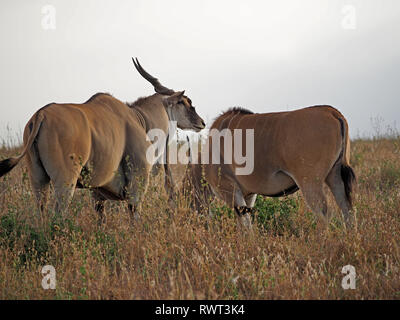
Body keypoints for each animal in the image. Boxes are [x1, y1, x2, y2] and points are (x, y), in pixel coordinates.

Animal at [183, 105, 354, 228]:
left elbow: (244, 224)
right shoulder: (248, 195)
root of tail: (332, 112)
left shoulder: (230, 190)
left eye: (186, 191)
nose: (189, 218)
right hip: (335, 177)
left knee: (323, 214)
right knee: (347, 209)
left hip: (310, 183)